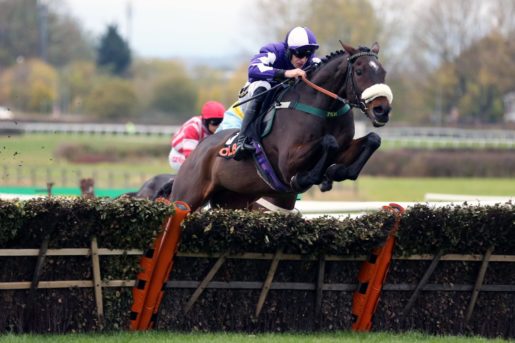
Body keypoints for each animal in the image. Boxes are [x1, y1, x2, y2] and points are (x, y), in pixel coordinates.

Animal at [171, 42, 394, 212]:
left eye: (383, 72)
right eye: (359, 71)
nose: (382, 110)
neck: (324, 108)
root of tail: (199, 149)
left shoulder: (344, 149)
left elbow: (372, 140)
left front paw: (336, 172)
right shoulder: (288, 162)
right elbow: (328, 143)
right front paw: (317, 176)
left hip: (232, 200)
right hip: (186, 195)